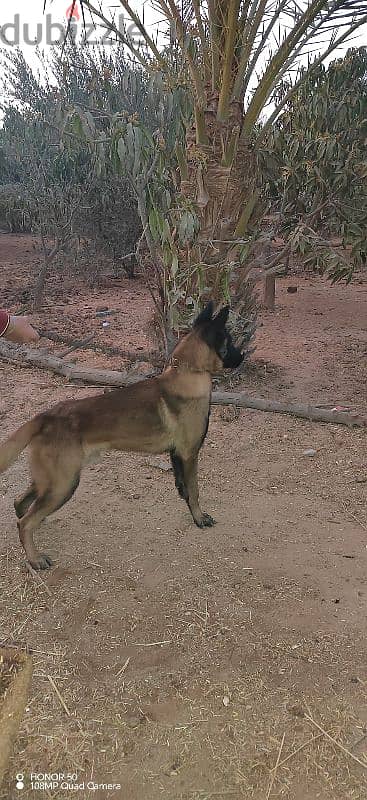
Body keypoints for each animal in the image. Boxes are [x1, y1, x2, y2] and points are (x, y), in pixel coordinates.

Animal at [1, 302, 246, 568]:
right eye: (230, 342)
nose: (243, 357)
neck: (188, 372)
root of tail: (46, 416)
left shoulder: (177, 455)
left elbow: (183, 487)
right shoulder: (190, 454)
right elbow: (195, 491)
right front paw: (199, 518)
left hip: (50, 481)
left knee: (20, 504)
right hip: (63, 485)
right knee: (25, 522)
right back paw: (35, 558)